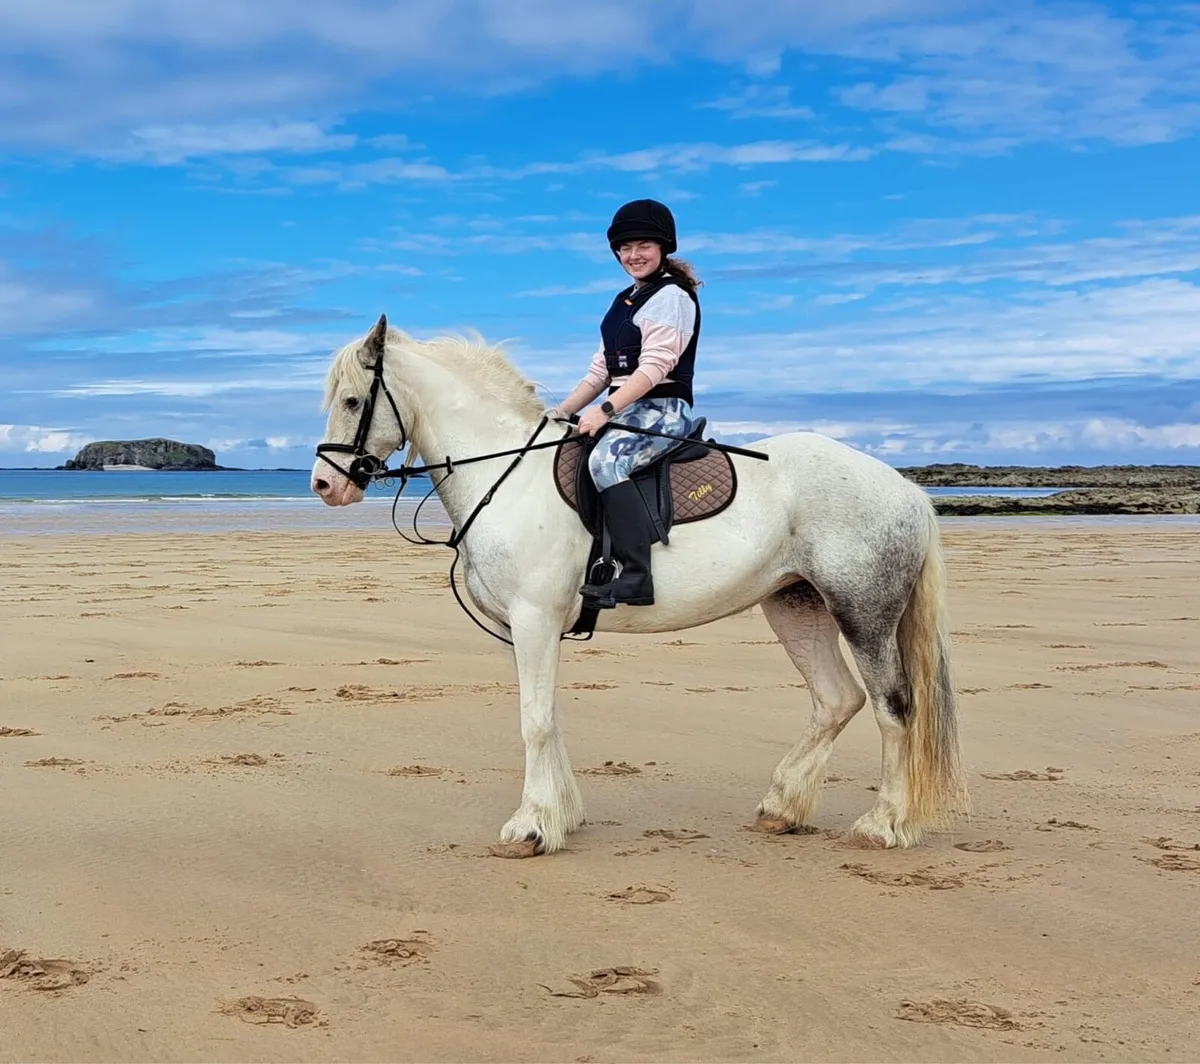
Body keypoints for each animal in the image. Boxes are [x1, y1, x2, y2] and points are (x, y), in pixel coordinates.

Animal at [311, 315, 968, 858]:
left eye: (351, 399)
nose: (324, 484)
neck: (508, 475)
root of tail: (904, 487)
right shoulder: (523, 630)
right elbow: (547, 714)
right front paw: (562, 817)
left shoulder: (533, 619)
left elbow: (534, 721)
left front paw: (531, 828)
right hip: (795, 606)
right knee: (836, 700)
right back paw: (782, 808)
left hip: (864, 612)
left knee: (893, 707)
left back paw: (883, 824)